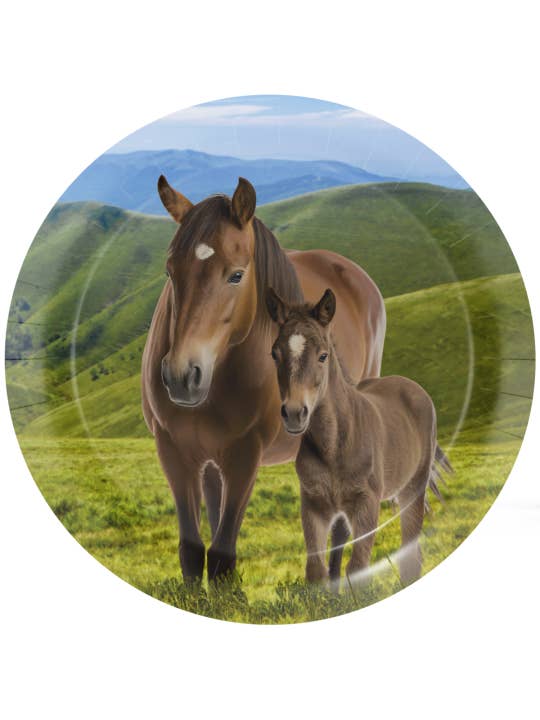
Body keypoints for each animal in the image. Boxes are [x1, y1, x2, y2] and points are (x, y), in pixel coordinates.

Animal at [141, 175, 386, 582]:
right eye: (169, 271)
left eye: (236, 275)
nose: (181, 376)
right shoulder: (173, 449)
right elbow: (192, 552)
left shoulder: (245, 454)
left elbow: (221, 555)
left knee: (340, 523)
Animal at [265, 286, 452, 586]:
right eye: (274, 353)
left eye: (323, 355)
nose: (294, 413)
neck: (334, 444)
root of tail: (411, 386)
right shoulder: (313, 504)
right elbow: (315, 569)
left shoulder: (367, 503)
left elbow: (358, 568)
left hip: (411, 489)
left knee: (410, 554)